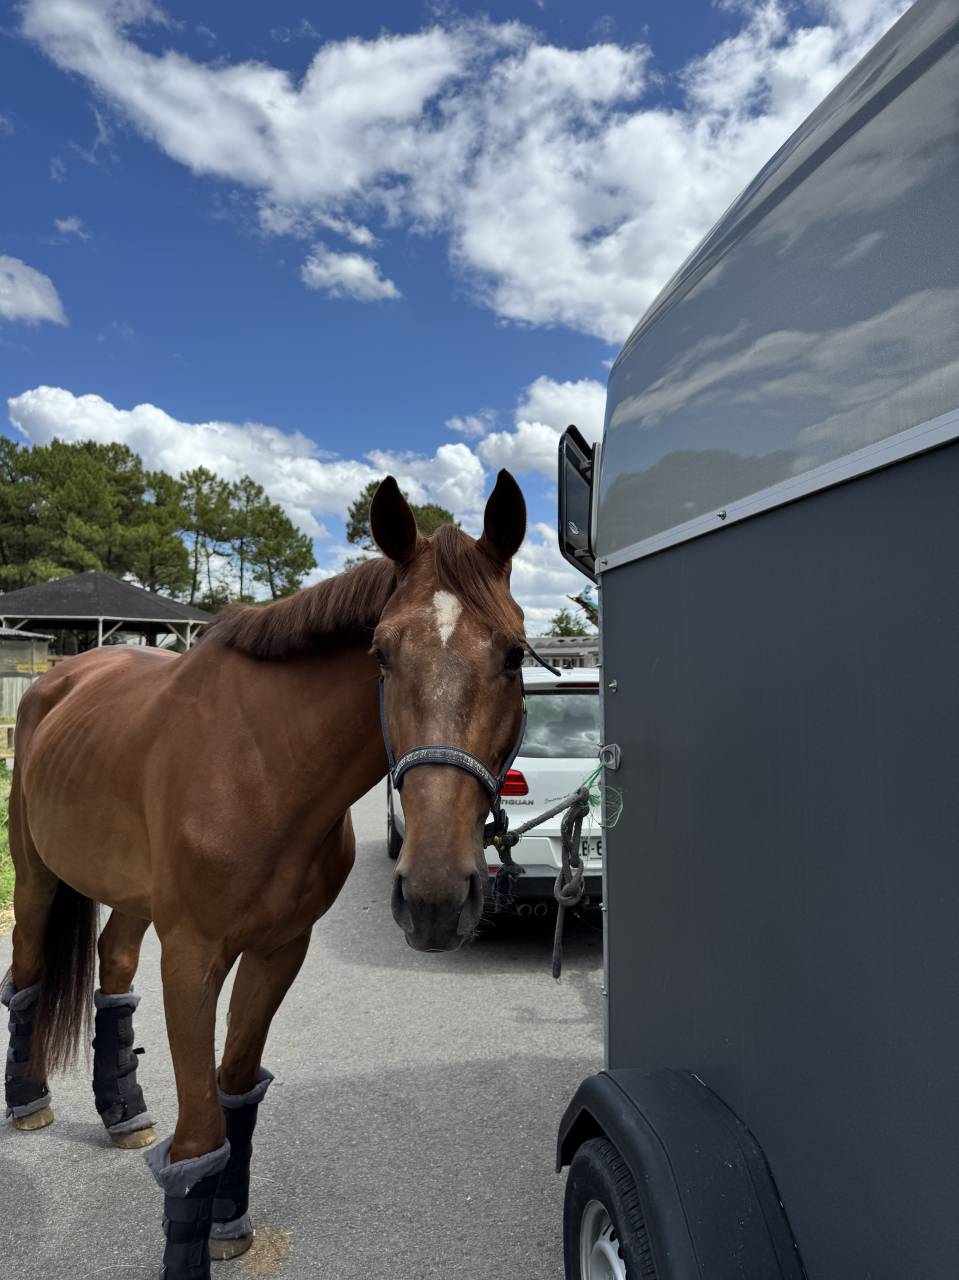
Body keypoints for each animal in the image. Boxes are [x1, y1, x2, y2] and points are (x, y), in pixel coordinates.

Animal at [3, 471, 527, 1279]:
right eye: (380, 654)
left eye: (513, 655)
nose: (435, 897)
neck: (263, 770)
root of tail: (57, 678)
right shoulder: (192, 957)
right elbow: (199, 1134)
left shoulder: (280, 950)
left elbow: (238, 1094)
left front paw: (226, 1222)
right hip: (34, 875)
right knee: (26, 972)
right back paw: (28, 1100)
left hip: (133, 896)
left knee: (113, 968)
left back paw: (122, 1110)